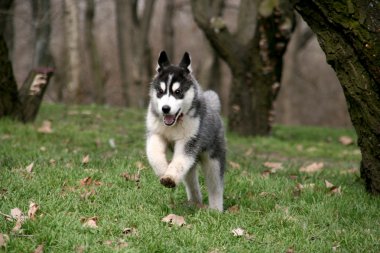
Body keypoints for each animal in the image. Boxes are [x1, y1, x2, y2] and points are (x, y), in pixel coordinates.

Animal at [146, 51, 226, 211]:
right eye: (160, 92)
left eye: (178, 92)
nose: (165, 109)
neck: (175, 124)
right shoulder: (156, 134)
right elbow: (154, 154)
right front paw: (163, 170)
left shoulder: (189, 141)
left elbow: (179, 161)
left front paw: (169, 178)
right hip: (193, 164)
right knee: (191, 179)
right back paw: (194, 202)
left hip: (213, 159)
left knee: (215, 185)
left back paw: (215, 210)